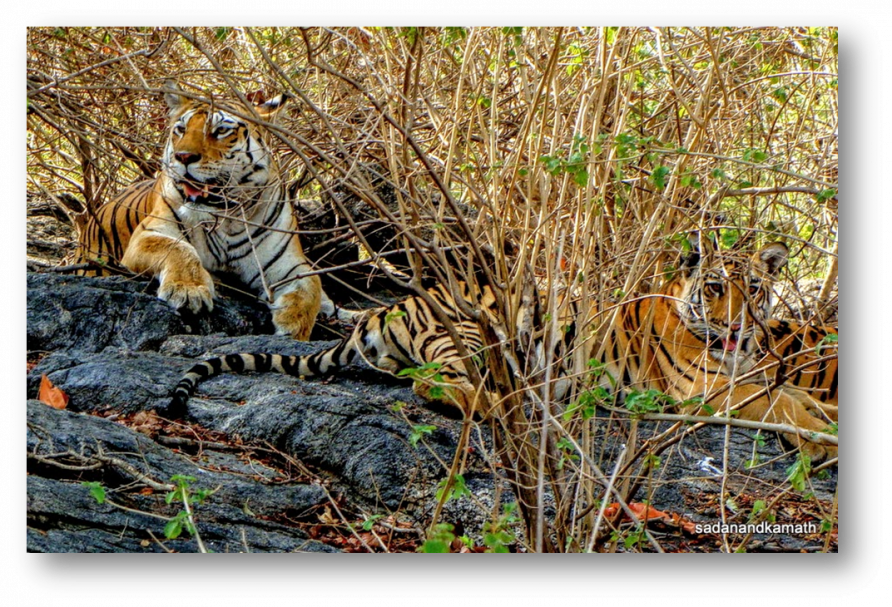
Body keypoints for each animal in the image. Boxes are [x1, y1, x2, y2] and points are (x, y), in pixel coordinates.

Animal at [73, 80, 358, 338]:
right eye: (180, 129)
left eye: (220, 130)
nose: (183, 157)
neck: (227, 214)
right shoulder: (147, 235)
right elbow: (178, 249)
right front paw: (188, 291)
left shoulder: (287, 262)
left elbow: (311, 284)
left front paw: (293, 325)